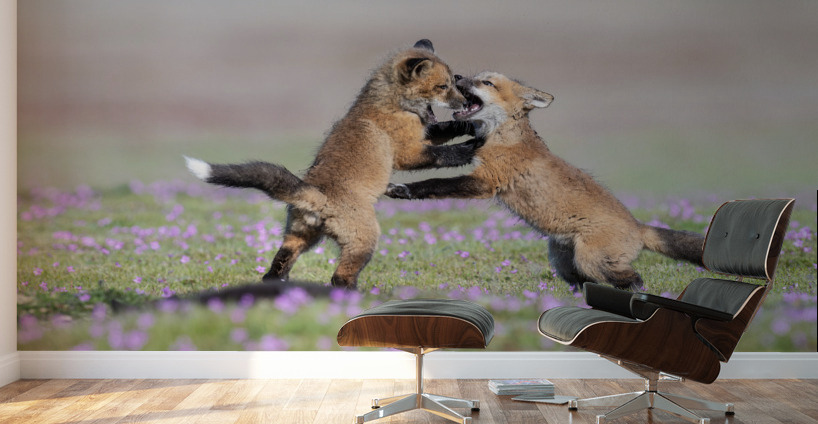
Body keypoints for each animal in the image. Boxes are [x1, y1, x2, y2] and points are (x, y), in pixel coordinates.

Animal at [185, 40, 481, 289]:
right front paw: (470, 148)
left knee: (274, 270)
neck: (392, 106)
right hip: (364, 239)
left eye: (452, 83)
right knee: (340, 278)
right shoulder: (408, 152)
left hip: (300, 237)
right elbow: (444, 154)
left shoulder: (423, 134)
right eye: (443, 87)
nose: (465, 101)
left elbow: (444, 128)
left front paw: (469, 125)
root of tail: (316, 195)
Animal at [386, 71, 705, 289]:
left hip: (592, 261)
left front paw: (403, 190)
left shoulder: (486, 182)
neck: (503, 137)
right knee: (585, 283)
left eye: (487, 83)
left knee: (634, 279)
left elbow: (435, 184)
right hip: (565, 263)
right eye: (473, 77)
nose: (458, 76)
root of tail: (638, 227)